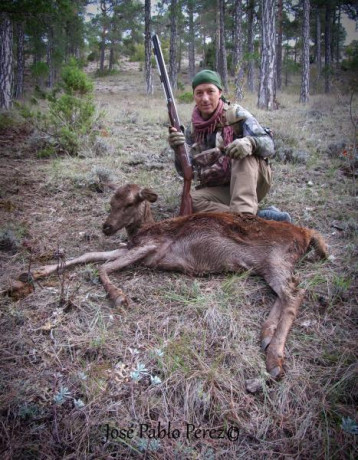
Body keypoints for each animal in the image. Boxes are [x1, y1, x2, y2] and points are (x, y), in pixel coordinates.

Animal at [8, 183, 328, 378]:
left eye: (131, 202)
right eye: (110, 201)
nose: (106, 226)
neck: (140, 232)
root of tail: (307, 235)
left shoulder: (149, 248)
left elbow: (104, 268)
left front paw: (119, 296)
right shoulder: (132, 248)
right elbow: (90, 255)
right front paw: (32, 273)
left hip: (277, 260)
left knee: (295, 295)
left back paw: (274, 359)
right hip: (267, 267)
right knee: (285, 294)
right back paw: (265, 334)